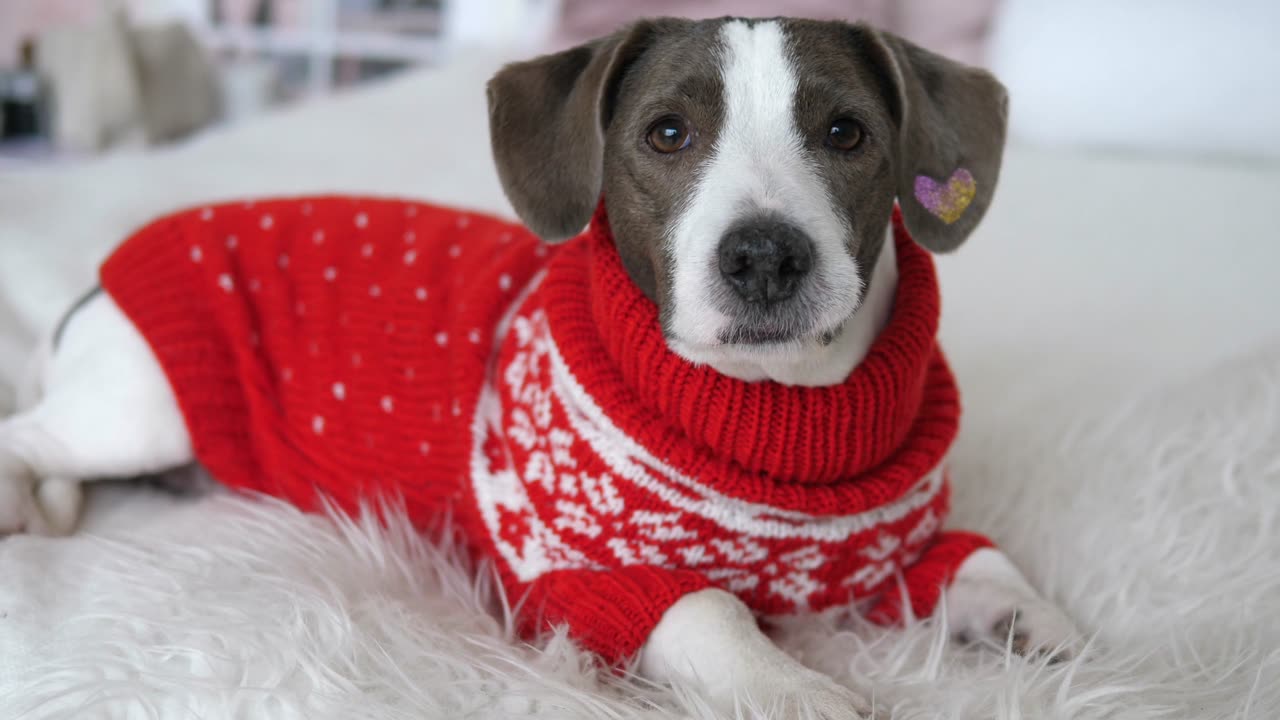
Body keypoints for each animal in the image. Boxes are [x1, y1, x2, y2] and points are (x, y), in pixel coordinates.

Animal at [2, 18, 1080, 717]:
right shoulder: (570, 579)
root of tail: (94, 291)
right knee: (28, 434)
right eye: (667, 133)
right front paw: (794, 689)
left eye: (846, 132)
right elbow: (709, 611)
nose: (765, 256)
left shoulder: (892, 549)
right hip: (138, 409)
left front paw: (1037, 625)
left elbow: (979, 561)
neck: (777, 411)